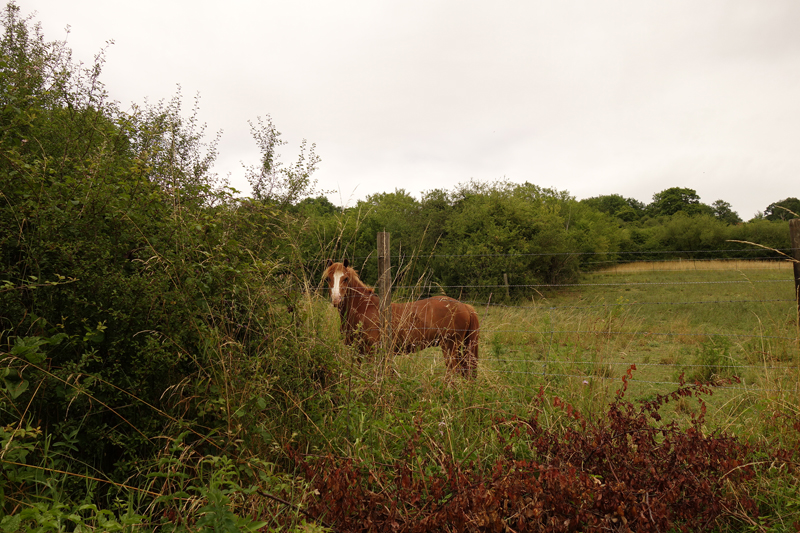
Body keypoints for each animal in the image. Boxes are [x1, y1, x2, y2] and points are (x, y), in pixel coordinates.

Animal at [322, 258, 478, 376]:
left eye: (345, 278)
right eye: (328, 279)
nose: (336, 300)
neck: (364, 308)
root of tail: (465, 307)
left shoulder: (371, 351)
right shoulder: (357, 351)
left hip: (450, 347)